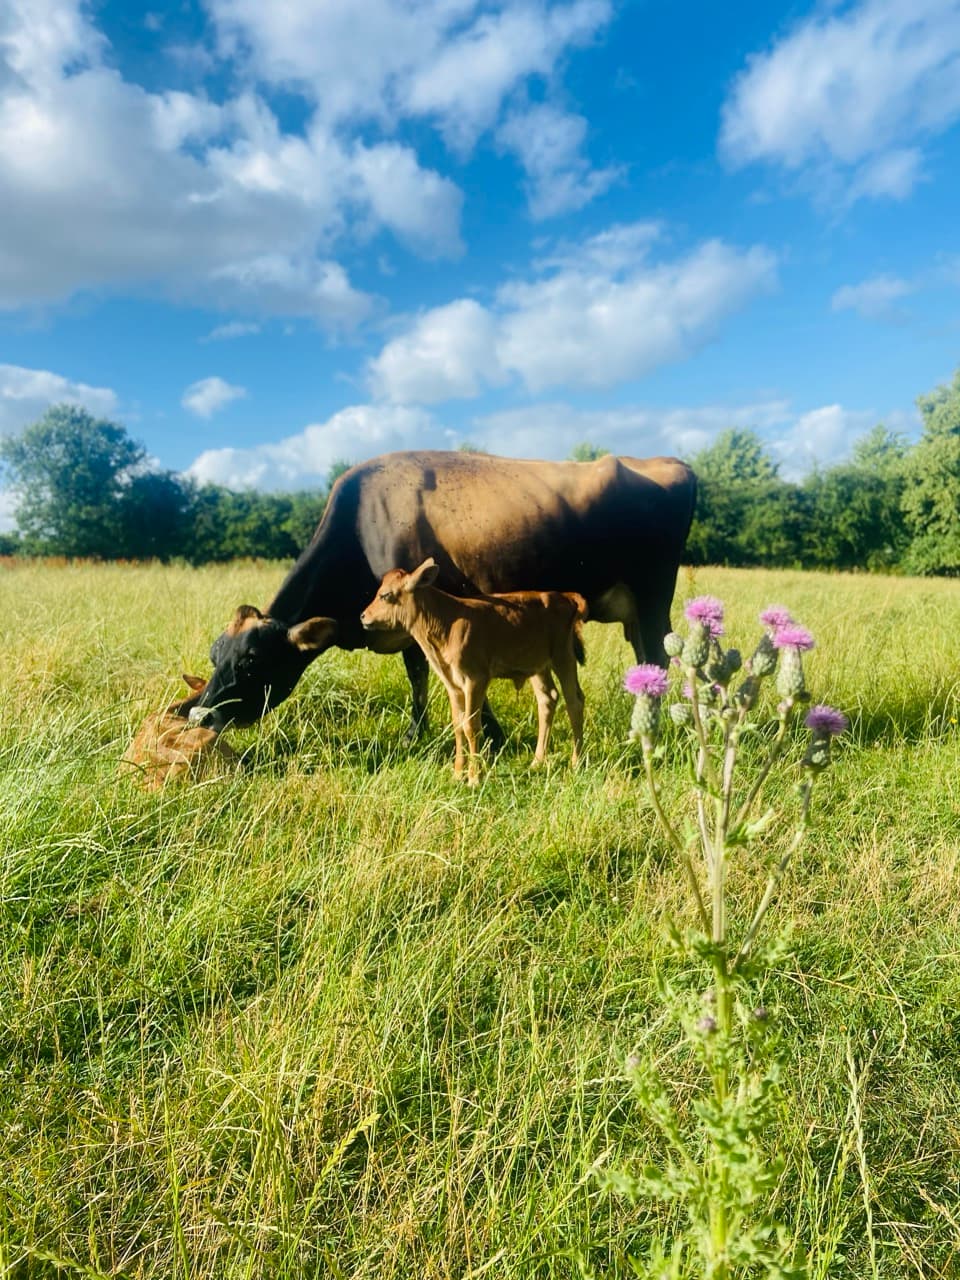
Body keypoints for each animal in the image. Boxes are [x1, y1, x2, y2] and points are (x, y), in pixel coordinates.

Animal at [186, 449, 697, 737]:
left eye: (251, 662)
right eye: (214, 655)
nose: (201, 716)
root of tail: (669, 463)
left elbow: (424, 674)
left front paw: (475, 735)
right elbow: (421, 676)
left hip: (654, 595)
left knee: (660, 655)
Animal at [361, 558, 587, 783]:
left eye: (385, 595)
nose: (363, 616)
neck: (447, 622)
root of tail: (566, 597)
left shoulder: (476, 679)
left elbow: (472, 726)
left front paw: (474, 777)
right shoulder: (452, 684)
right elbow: (458, 725)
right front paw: (457, 773)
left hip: (563, 656)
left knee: (574, 701)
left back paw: (576, 762)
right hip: (538, 665)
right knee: (547, 699)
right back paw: (537, 762)